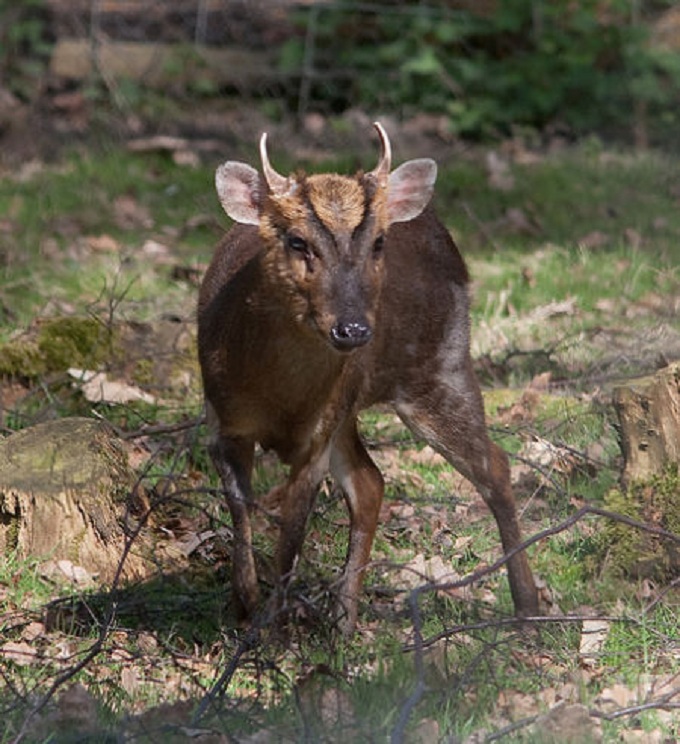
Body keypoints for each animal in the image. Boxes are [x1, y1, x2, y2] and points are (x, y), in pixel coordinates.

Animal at [197, 122, 536, 632]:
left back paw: (528, 606)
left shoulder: (316, 438)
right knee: (371, 482)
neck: (279, 397)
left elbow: (291, 539)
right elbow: (242, 512)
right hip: (355, 403)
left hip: (441, 366)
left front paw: (271, 629)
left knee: (493, 464)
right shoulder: (223, 420)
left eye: (377, 243)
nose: (352, 329)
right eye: (297, 241)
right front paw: (243, 607)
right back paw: (344, 620)